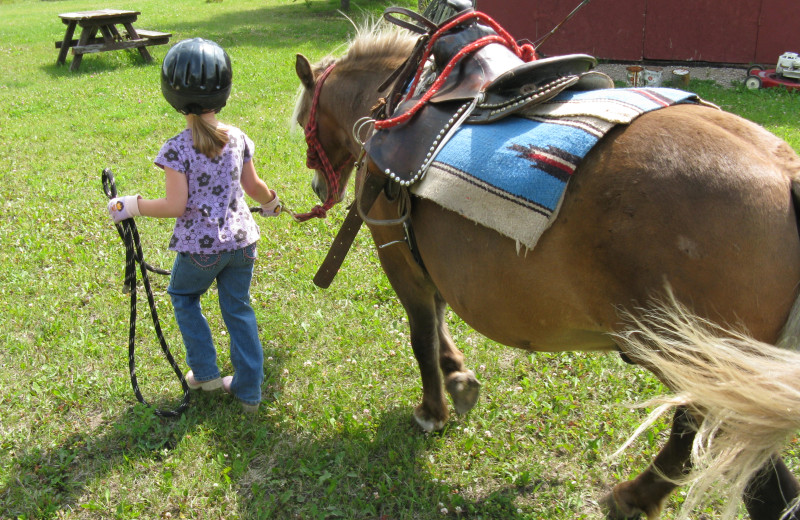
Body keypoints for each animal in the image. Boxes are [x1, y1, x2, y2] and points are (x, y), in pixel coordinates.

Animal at [290, 23, 800, 520]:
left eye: (302, 121)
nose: (317, 186)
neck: (397, 106)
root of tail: (784, 171)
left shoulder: (398, 257)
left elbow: (422, 338)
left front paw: (433, 411)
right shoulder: (425, 260)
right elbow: (439, 324)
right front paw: (460, 380)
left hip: (699, 366)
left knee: (698, 444)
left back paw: (632, 497)